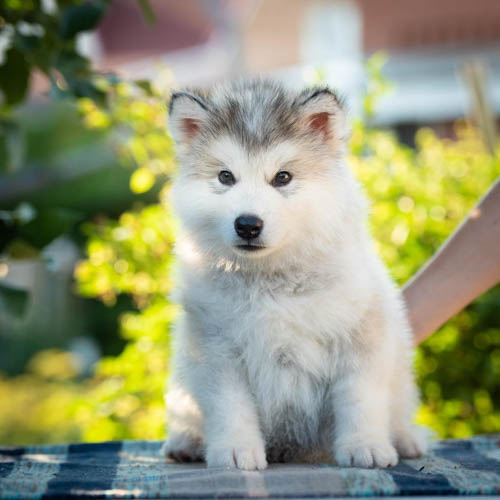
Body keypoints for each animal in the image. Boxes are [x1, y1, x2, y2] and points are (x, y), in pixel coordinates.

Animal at [162, 78, 428, 468]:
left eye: (282, 177)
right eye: (226, 177)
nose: (247, 224)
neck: (271, 279)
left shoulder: (361, 335)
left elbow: (360, 399)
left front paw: (364, 445)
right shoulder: (215, 348)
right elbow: (230, 406)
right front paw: (235, 450)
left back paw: (407, 439)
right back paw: (187, 442)